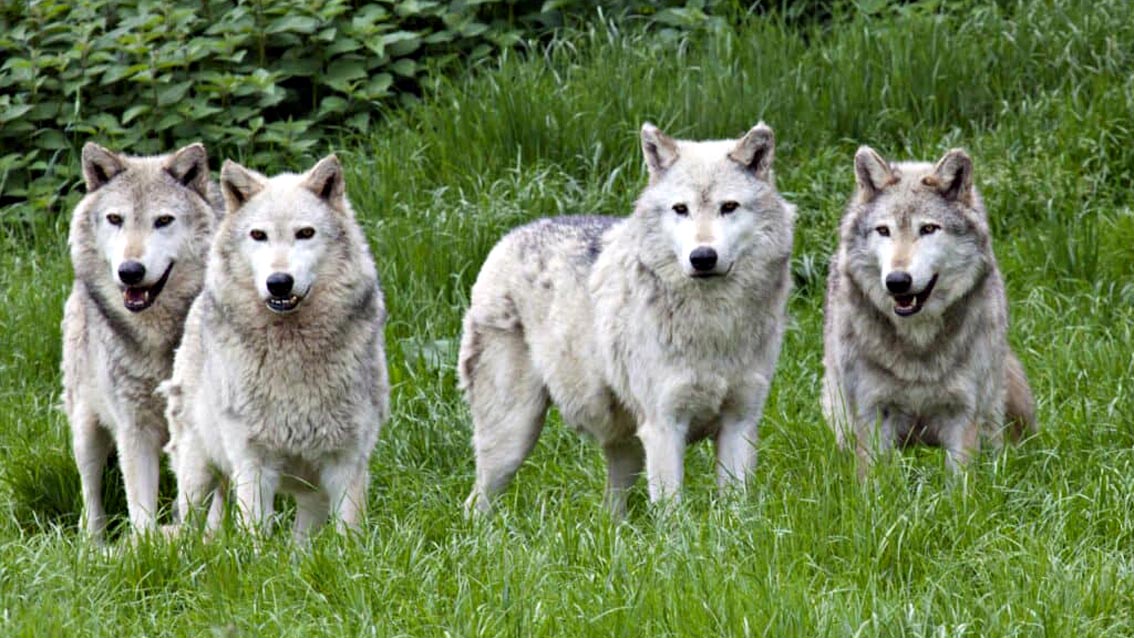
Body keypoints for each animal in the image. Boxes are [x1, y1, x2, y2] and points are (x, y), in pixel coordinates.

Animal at [157, 156, 390, 539]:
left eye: (305, 233)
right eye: (258, 235)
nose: (279, 282)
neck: (291, 350)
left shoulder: (347, 462)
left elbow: (349, 536)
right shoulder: (253, 462)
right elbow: (255, 535)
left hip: (310, 495)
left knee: (301, 543)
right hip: (197, 472)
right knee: (189, 528)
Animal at [460, 122, 798, 516]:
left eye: (728, 207)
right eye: (680, 209)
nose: (702, 257)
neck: (715, 324)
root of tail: (510, 236)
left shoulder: (740, 423)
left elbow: (736, 510)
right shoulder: (664, 427)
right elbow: (672, 514)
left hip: (626, 448)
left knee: (610, 511)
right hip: (513, 437)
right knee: (475, 504)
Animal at [821, 145, 1038, 473]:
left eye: (928, 229)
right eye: (883, 230)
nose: (897, 281)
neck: (918, 345)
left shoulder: (963, 414)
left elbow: (961, 481)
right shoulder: (872, 413)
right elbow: (873, 482)